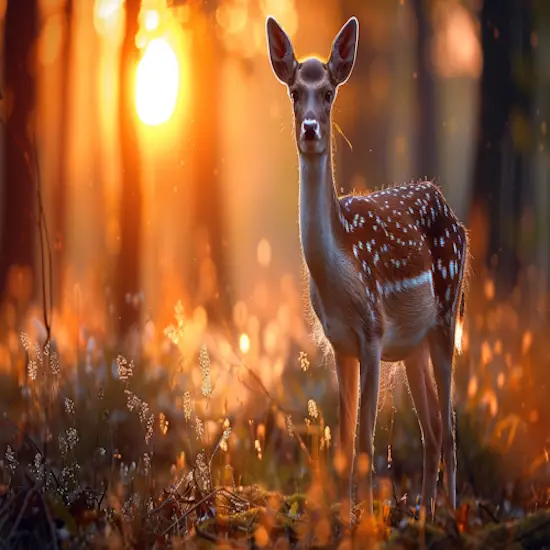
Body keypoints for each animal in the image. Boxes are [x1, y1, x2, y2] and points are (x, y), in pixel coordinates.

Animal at [268, 12, 470, 520]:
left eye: (329, 91)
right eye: (294, 90)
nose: (311, 128)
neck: (341, 275)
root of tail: (451, 213)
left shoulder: (373, 334)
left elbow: (365, 443)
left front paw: (364, 520)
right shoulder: (340, 342)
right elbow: (343, 443)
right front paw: (344, 517)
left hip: (447, 316)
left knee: (450, 430)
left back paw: (451, 518)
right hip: (415, 344)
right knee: (432, 431)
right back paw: (424, 516)